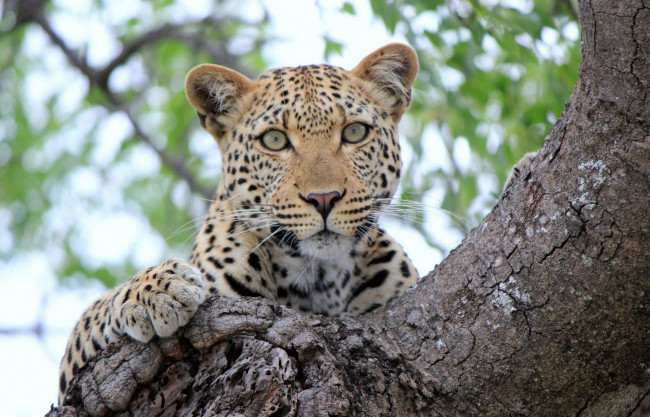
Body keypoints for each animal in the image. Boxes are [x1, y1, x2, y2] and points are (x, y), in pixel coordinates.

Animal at [58, 43, 421, 403]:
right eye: (274, 140)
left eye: (354, 132)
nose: (324, 199)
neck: (320, 277)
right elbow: (94, 315)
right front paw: (158, 291)